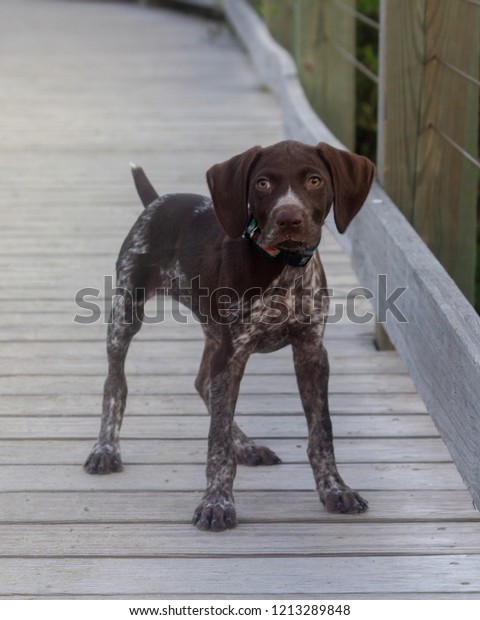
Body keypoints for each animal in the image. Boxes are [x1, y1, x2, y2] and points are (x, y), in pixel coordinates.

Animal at [84, 140, 376, 532]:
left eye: (314, 180)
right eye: (263, 183)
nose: (289, 219)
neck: (282, 268)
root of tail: (156, 202)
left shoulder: (311, 351)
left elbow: (322, 431)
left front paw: (335, 488)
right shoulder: (232, 352)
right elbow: (216, 441)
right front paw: (216, 503)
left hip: (211, 332)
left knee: (203, 384)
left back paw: (248, 447)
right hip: (126, 314)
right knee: (116, 383)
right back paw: (105, 450)